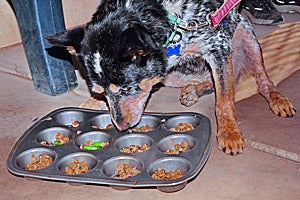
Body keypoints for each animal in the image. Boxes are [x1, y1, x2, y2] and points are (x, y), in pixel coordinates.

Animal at [45, 0, 296, 155]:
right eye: (100, 91)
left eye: (127, 89)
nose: (121, 127)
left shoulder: (219, 48)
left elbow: (224, 99)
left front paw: (229, 133)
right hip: (170, 75)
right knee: (211, 80)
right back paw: (194, 89)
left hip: (246, 34)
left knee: (260, 79)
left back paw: (277, 99)